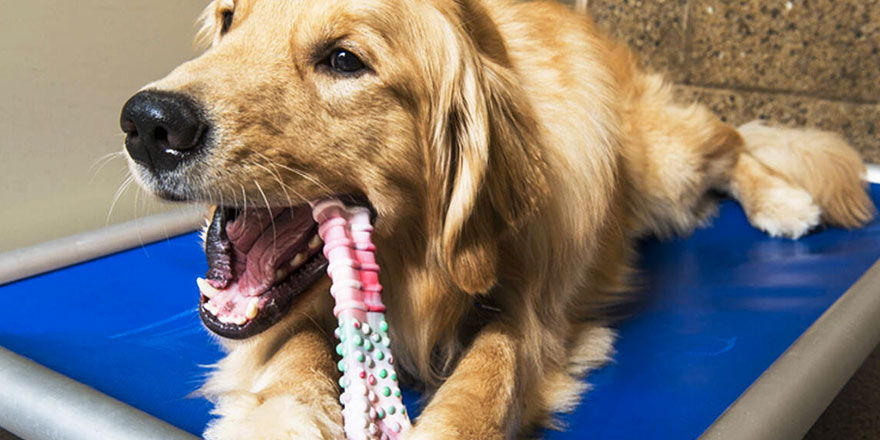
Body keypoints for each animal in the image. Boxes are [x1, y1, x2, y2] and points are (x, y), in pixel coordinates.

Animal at [120, 0, 876, 436]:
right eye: (228, 21)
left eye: (343, 59)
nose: (148, 123)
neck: (417, 273)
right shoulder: (288, 321)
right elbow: (297, 356)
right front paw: (283, 421)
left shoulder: (536, 314)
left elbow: (488, 376)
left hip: (669, 163)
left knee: (737, 143)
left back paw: (785, 201)